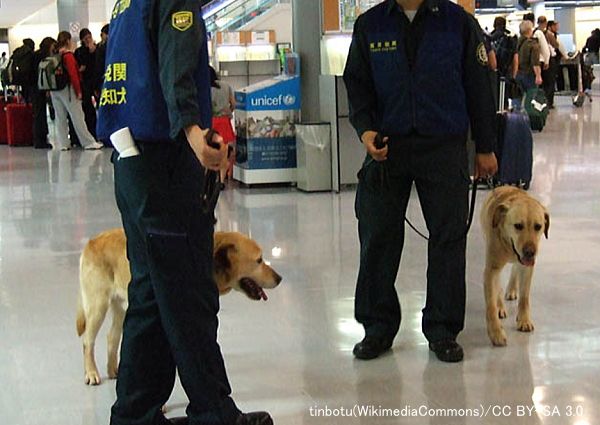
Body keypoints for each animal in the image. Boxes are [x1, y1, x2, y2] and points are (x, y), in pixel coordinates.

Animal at [76, 229, 280, 384]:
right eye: (259, 260)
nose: (280, 278)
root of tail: (92, 241)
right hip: (98, 306)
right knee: (87, 341)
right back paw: (91, 373)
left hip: (121, 308)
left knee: (111, 337)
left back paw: (113, 370)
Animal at [480, 187, 552, 346]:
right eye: (518, 226)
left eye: (538, 226)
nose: (530, 252)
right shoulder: (491, 269)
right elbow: (490, 305)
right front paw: (496, 332)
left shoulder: (527, 267)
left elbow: (524, 298)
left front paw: (524, 320)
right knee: (498, 285)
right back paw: (500, 305)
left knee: (514, 270)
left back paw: (512, 289)